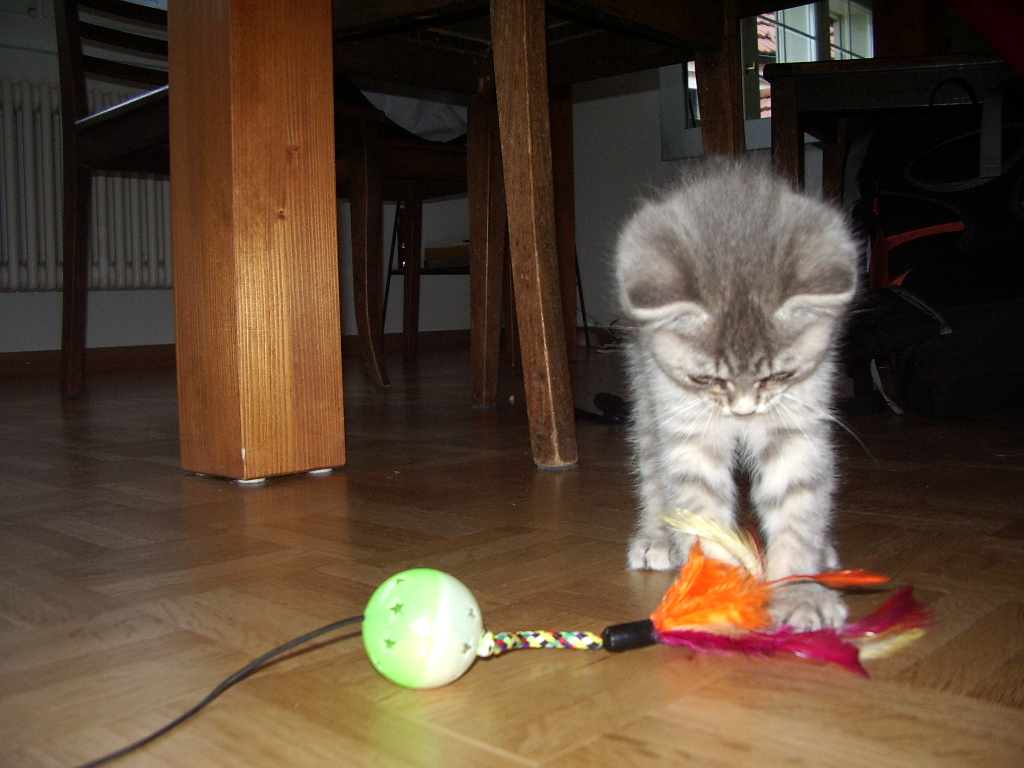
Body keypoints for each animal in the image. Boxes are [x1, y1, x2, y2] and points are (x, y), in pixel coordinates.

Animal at [610, 157, 860, 630]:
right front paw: (713, 592)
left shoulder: (798, 418)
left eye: (778, 374)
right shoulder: (685, 421)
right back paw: (657, 536)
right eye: (706, 379)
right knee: (651, 465)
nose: (743, 411)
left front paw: (800, 589)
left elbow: (797, 500)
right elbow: (698, 503)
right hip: (645, 389)